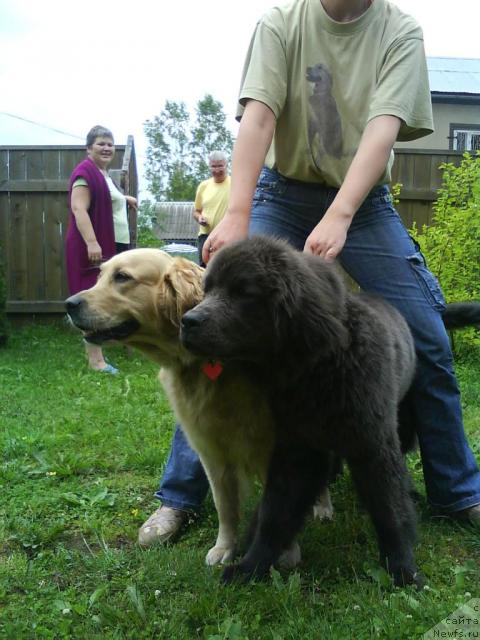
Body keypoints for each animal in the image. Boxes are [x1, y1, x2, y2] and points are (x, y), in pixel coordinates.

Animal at [180, 234, 476, 584]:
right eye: (208, 289)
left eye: (243, 292)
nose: (188, 321)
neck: (318, 371)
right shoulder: (297, 447)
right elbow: (274, 513)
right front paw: (250, 567)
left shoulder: (372, 443)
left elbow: (390, 509)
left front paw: (403, 569)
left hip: (403, 425)